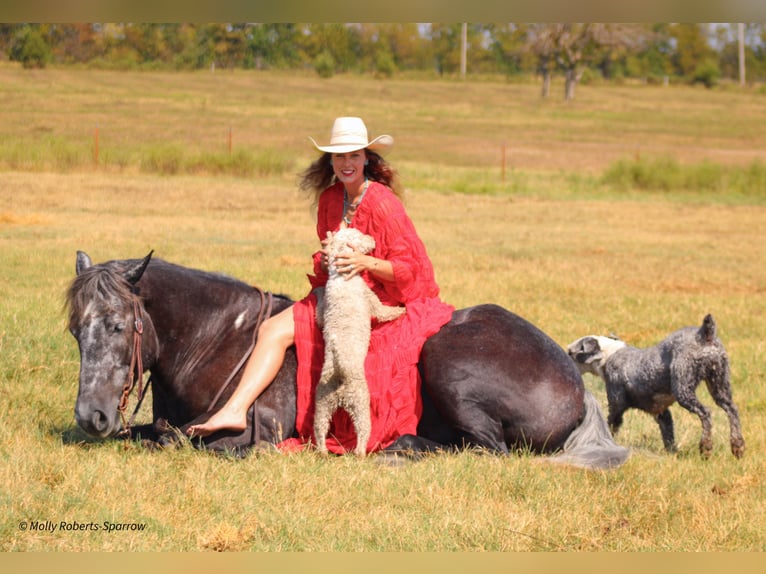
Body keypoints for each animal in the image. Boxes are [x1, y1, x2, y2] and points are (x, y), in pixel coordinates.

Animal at [568, 316, 744, 460]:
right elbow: (668, 436)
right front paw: (673, 455)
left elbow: (611, 426)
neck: (610, 354)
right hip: (719, 384)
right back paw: (738, 447)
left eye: (571, 353)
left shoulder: (616, 405)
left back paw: (706, 447)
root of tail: (705, 335)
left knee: (706, 412)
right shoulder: (661, 413)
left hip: (683, 388)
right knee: (732, 410)